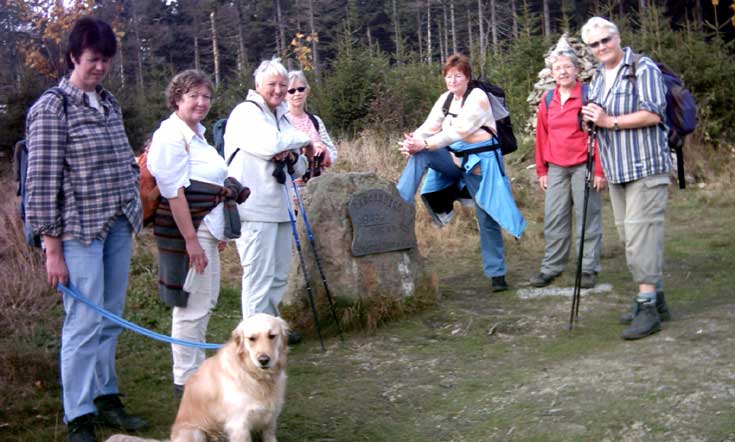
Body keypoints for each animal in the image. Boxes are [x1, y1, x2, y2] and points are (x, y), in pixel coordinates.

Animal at [171, 314, 288, 442]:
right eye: (252, 338)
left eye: (272, 336)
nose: (263, 360)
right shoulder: (239, 424)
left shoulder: (271, 416)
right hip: (196, 432)